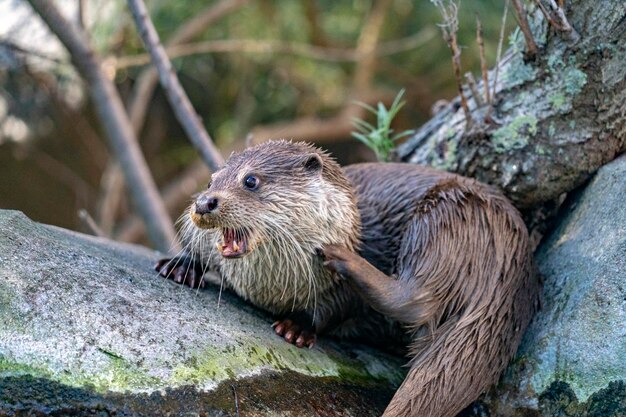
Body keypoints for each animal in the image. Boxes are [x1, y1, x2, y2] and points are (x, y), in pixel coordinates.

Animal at [155, 141, 536, 416]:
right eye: (210, 180)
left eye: (251, 180)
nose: (204, 202)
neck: (270, 290)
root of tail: (513, 255)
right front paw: (181, 266)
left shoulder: (343, 288)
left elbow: (339, 306)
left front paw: (298, 326)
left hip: (447, 216)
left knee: (417, 298)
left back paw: (341, 256)